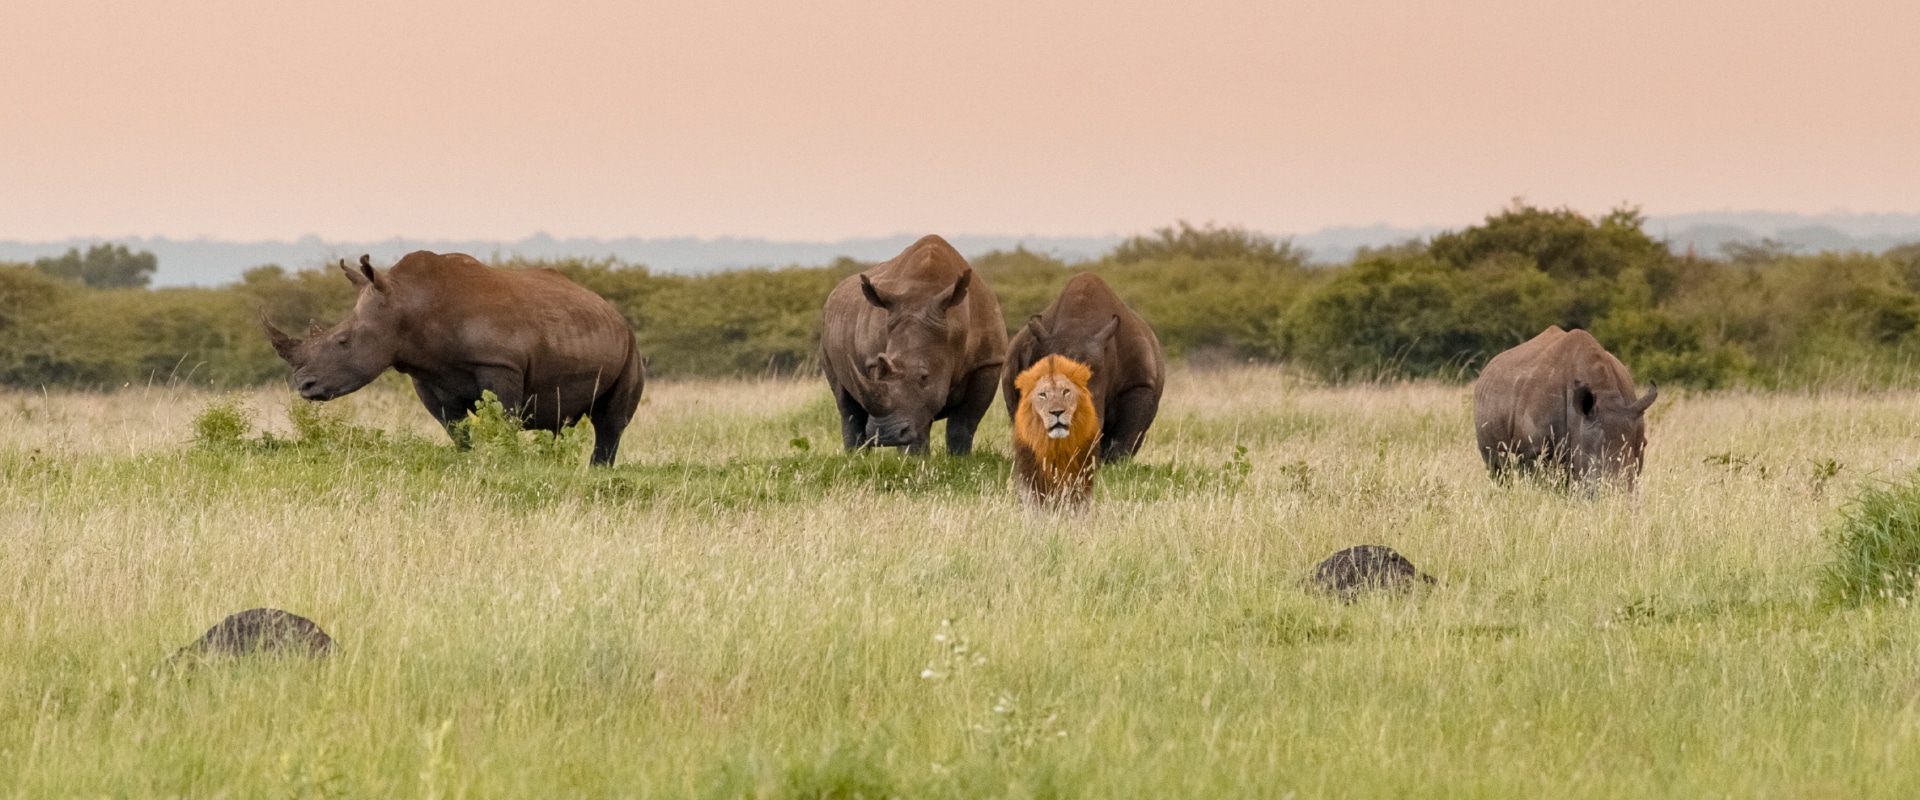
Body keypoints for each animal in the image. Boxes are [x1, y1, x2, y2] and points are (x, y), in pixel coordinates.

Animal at [263, 247, 645, 460]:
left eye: (342, 341)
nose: (304, 386)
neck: (409, 304)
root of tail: (612, 312)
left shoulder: (500, 365)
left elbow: (502, 419)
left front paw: (505, 461)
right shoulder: (426, 376)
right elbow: (455, 428)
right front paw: (470, 461)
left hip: (630, 346)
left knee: (610, 422)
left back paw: (599, 471)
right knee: (565, 423)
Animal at [821, 234, 1013, 452]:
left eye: (924, 377)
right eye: (879, 371)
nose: (885, 434)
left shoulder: (988, 362)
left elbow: (963, 423)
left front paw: (959, 457)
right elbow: (916, 425)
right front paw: (913, 458)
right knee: (846, 405)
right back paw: (857, 456)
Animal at [1013, 352, 1105, 506]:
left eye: (1066, 391)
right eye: (1043, 394)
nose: (1057, 412)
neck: (1057, 446)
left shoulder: (1082, 479)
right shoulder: (1032, 478)